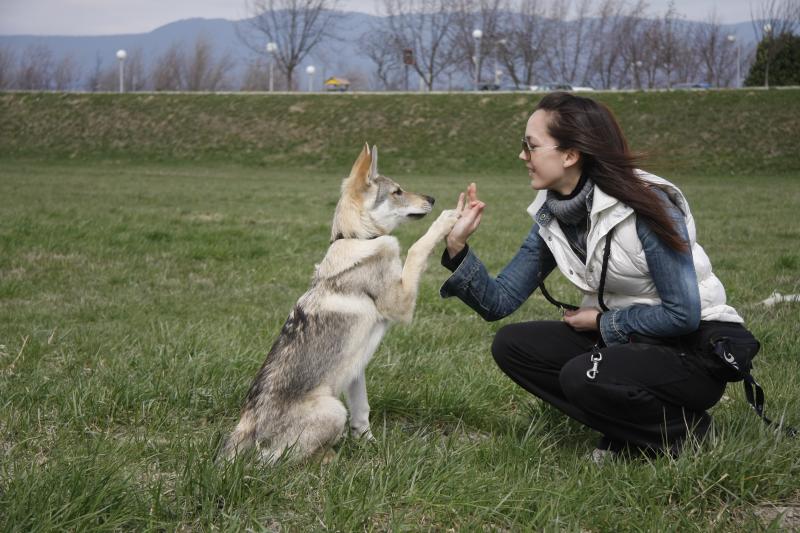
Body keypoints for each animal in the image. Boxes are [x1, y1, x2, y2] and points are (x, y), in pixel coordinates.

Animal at [219, 144, 460, 462]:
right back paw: (329, 457)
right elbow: (418, 247)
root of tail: (246, 425)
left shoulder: (355, 368)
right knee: (273, 459)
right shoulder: (401, 304)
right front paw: (448, 219)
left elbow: (362, 411)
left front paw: (368, 444)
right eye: (397, 191)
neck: (356, 238)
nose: (432, 199)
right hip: (333, 409)